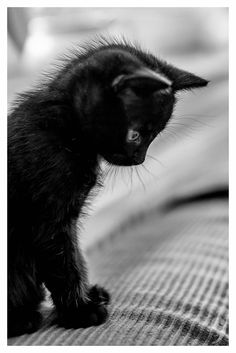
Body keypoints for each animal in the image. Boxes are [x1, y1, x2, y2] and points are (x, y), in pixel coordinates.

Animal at [7, 37, 208, 336]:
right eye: (135, 134)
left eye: (154, 136)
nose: (139, 159)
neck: (63, 128)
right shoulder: (47, 218)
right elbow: (63, 264)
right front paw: (80, 311)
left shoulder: (68, 219)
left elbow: (76, 257)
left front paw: (88, 296)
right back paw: (21, 318)